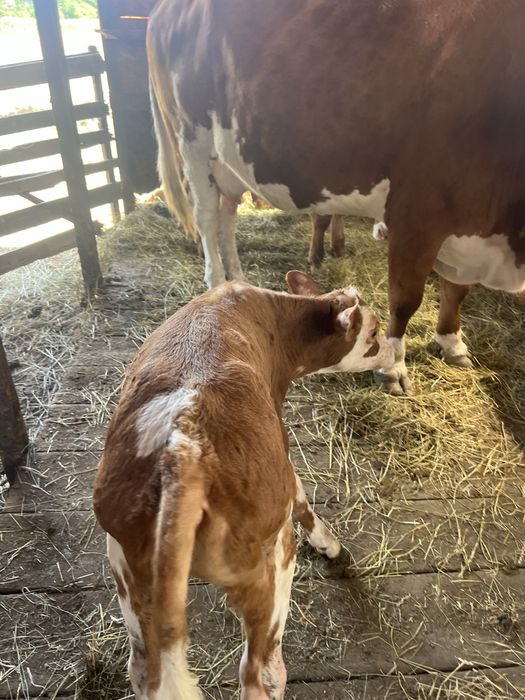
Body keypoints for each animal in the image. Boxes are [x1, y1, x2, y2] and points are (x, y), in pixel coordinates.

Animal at [93, 271, 395, 700]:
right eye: (372, 333)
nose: (393, 351)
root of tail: (183, 446)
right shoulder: (280, 442)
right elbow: (300, 492)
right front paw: (329, 543)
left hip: (128, 570)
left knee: (145, 670)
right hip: (269, 565)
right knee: (257, 673)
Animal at [147, 0, 525, 395]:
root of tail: (162, 11)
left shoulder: (466, 221)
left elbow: (456, 289)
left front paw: (452, 343)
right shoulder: (417, 215)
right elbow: (405, 299)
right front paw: (392, 366)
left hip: (229, 160)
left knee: (228, 214)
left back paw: (237, 279)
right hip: (192, 141)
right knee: (206, 216)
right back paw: (217, 281)